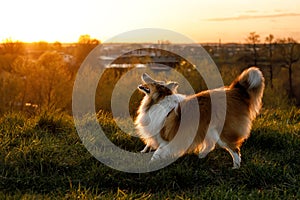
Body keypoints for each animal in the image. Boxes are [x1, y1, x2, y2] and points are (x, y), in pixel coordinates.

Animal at [135, 67, 264, 169]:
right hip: (207, 128)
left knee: (235, 150)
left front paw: (150, 164)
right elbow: (150, 146)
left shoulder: (167, 138)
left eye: (154, 82)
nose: (144, 74)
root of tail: (235, 92)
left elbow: (157, 152)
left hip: (223, 131)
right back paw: (200, 156)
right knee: (211, 145)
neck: (159, 101)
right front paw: (143, 153)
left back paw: (235, 167)